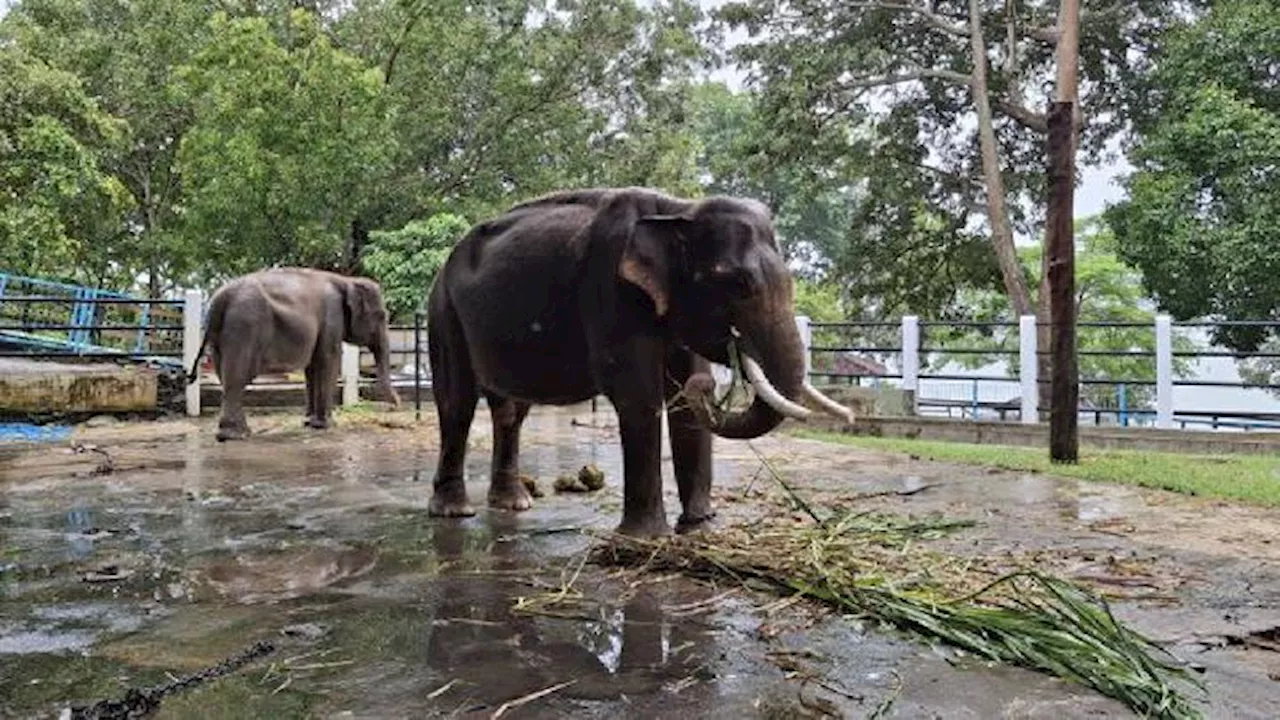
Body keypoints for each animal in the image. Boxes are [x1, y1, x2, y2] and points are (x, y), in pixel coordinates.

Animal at [188, 266, 399, 440]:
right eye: (380, 315)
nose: (396, 406)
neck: (346, 280)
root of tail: (219, 299)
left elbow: (313, 367)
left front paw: (311, 423)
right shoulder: (332, 317)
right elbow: (328, 359)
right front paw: (328, 425)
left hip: (220, 335)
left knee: (225, 377)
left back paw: (239, 432)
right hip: (244, 326)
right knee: (237, 378)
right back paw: (236, 435)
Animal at [424, 188, 855, 535]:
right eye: (738, 284)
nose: (711, 388)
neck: (678, 210)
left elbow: (684, 400)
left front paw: (700, 529)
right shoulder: (612, 290)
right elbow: (637, 393)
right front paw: (644, 538)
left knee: (510, 411)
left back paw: (513, 504)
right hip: (444, 312)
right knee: (458, 402)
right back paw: (453, 512)